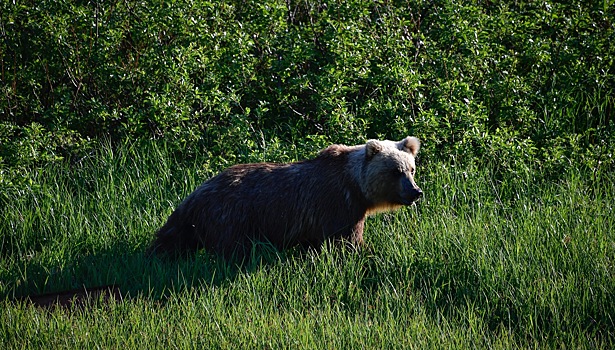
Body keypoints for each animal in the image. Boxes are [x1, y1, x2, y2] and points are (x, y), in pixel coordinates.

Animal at [149, 136, 422, 260]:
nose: (415, 192)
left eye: (411, 169)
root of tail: (196, 193)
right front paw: (366, 252)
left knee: (174, 237)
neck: (356, 186)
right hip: (231, 216)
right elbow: (346, 241)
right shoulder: (338, 205)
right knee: (231, 248)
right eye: (395, 171)